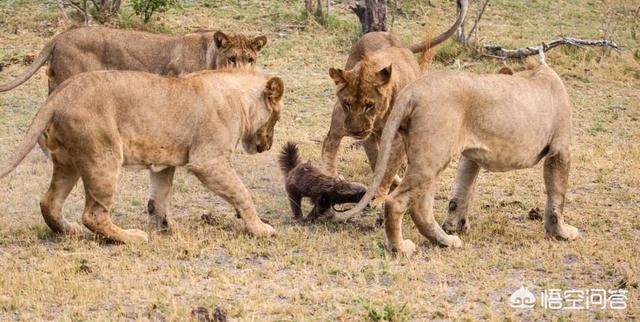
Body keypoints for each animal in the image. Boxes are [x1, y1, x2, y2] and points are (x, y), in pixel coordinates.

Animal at [0, 68, 282, 244]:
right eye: (276, 118)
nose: (268, 145)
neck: (241, 100)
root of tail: (60, 92)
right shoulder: (208, 161)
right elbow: (242, 193)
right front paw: (260, 228)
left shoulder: (165, 163)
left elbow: (160, 199)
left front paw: (170, 229)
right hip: (104, 156)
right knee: (93, 215)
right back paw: (131, 237)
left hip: (67, 162)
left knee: (49, 202)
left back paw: (70, 231)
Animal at [324, 0, 470, 204]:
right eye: (348, 104)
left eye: (369, 105)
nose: (355, 131)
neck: (380, 116)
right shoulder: (365, 132)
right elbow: (377, 160)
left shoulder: (397, 138)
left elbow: (388, 167)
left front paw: (379, 197)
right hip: (339, 119)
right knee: (330, 142)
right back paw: (329, 175)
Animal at [338, 54, 584, 258]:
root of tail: (412, 90)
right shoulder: (560, 150)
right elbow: (557, 198)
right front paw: (561, 232)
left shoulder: (471, 156)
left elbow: (461, 193)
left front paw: (457, 226)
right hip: (432, 157)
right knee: (396, 202)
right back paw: (401, 248)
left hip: (429, 158)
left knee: (421, 207)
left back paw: (446, 241)